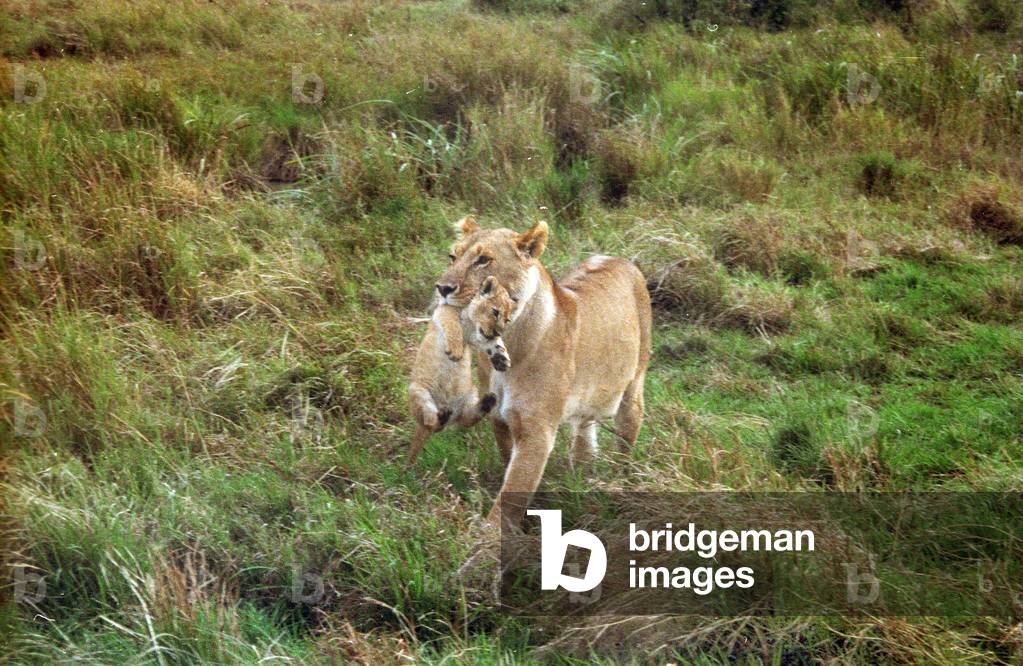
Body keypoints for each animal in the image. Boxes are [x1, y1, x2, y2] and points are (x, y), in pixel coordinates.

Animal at [407, 275, 516, 464]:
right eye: (495, 312)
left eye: (508, 320)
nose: (498, 331)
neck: (471, 324)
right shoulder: (444, 311)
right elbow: (452, 325)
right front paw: (456, 352)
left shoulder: (478, 337)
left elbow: (495, 344)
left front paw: (502, 359)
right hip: (417, 391)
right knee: (431, 424)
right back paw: (440, 417)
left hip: (470, 394)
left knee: (465, 420)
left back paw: (487, 402)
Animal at [436, 216, 652, 529]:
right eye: (453, 256)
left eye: (483, 260)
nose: (442, 288)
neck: (507, 341)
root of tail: (620, 259)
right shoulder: (499, 419)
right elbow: (511, 472)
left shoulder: (536, 431)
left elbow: (512, 492)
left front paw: (487, 538)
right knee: (584, 433)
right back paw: (582, 477)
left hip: (633, 385)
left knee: (626, 435)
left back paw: (621, 481)